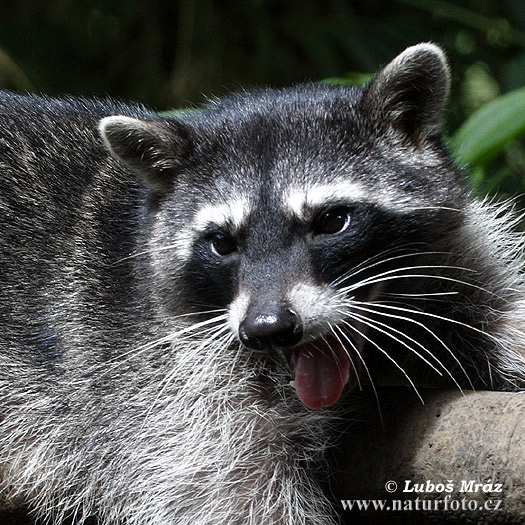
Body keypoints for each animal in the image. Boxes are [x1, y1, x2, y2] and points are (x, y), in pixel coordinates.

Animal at [1, 44, 524, 524]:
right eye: (221, 243)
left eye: (331, 221)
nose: (267, 327)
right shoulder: (165, 391)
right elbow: (228, 498)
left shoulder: (452, 258)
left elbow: (498, 303)